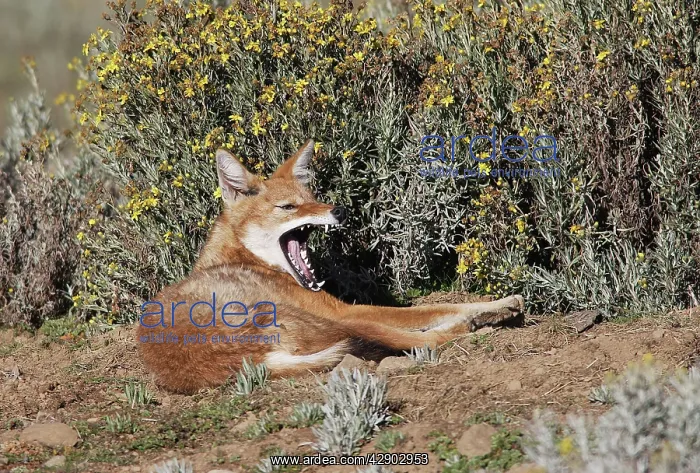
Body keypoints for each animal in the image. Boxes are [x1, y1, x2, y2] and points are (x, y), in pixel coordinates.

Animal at [136, 140, 524, 393]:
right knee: (421, 339)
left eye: (313, 199)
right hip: (341, 322)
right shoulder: (347, 311)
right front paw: (500, 304)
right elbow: (439, 306)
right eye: (288, 207)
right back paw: (480, 324)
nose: (339, 210)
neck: (243, 256)